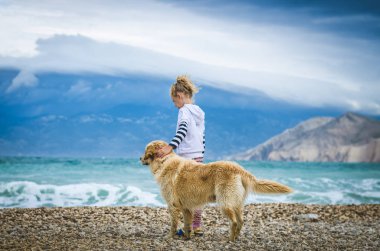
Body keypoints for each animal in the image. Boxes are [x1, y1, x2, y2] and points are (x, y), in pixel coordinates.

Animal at [141, 141, 292, 241]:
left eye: (145, 151)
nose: (140, 158)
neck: (163, 161)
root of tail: (239, 169)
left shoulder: (173, 205)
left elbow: (173, 224)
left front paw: (170, 236)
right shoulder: (186, 207)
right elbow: (187, 224)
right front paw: (187, 236)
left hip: (224, 202)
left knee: (234, 222)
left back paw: (230, 239)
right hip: (236, 203)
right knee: (241, 221)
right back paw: (236, 238)